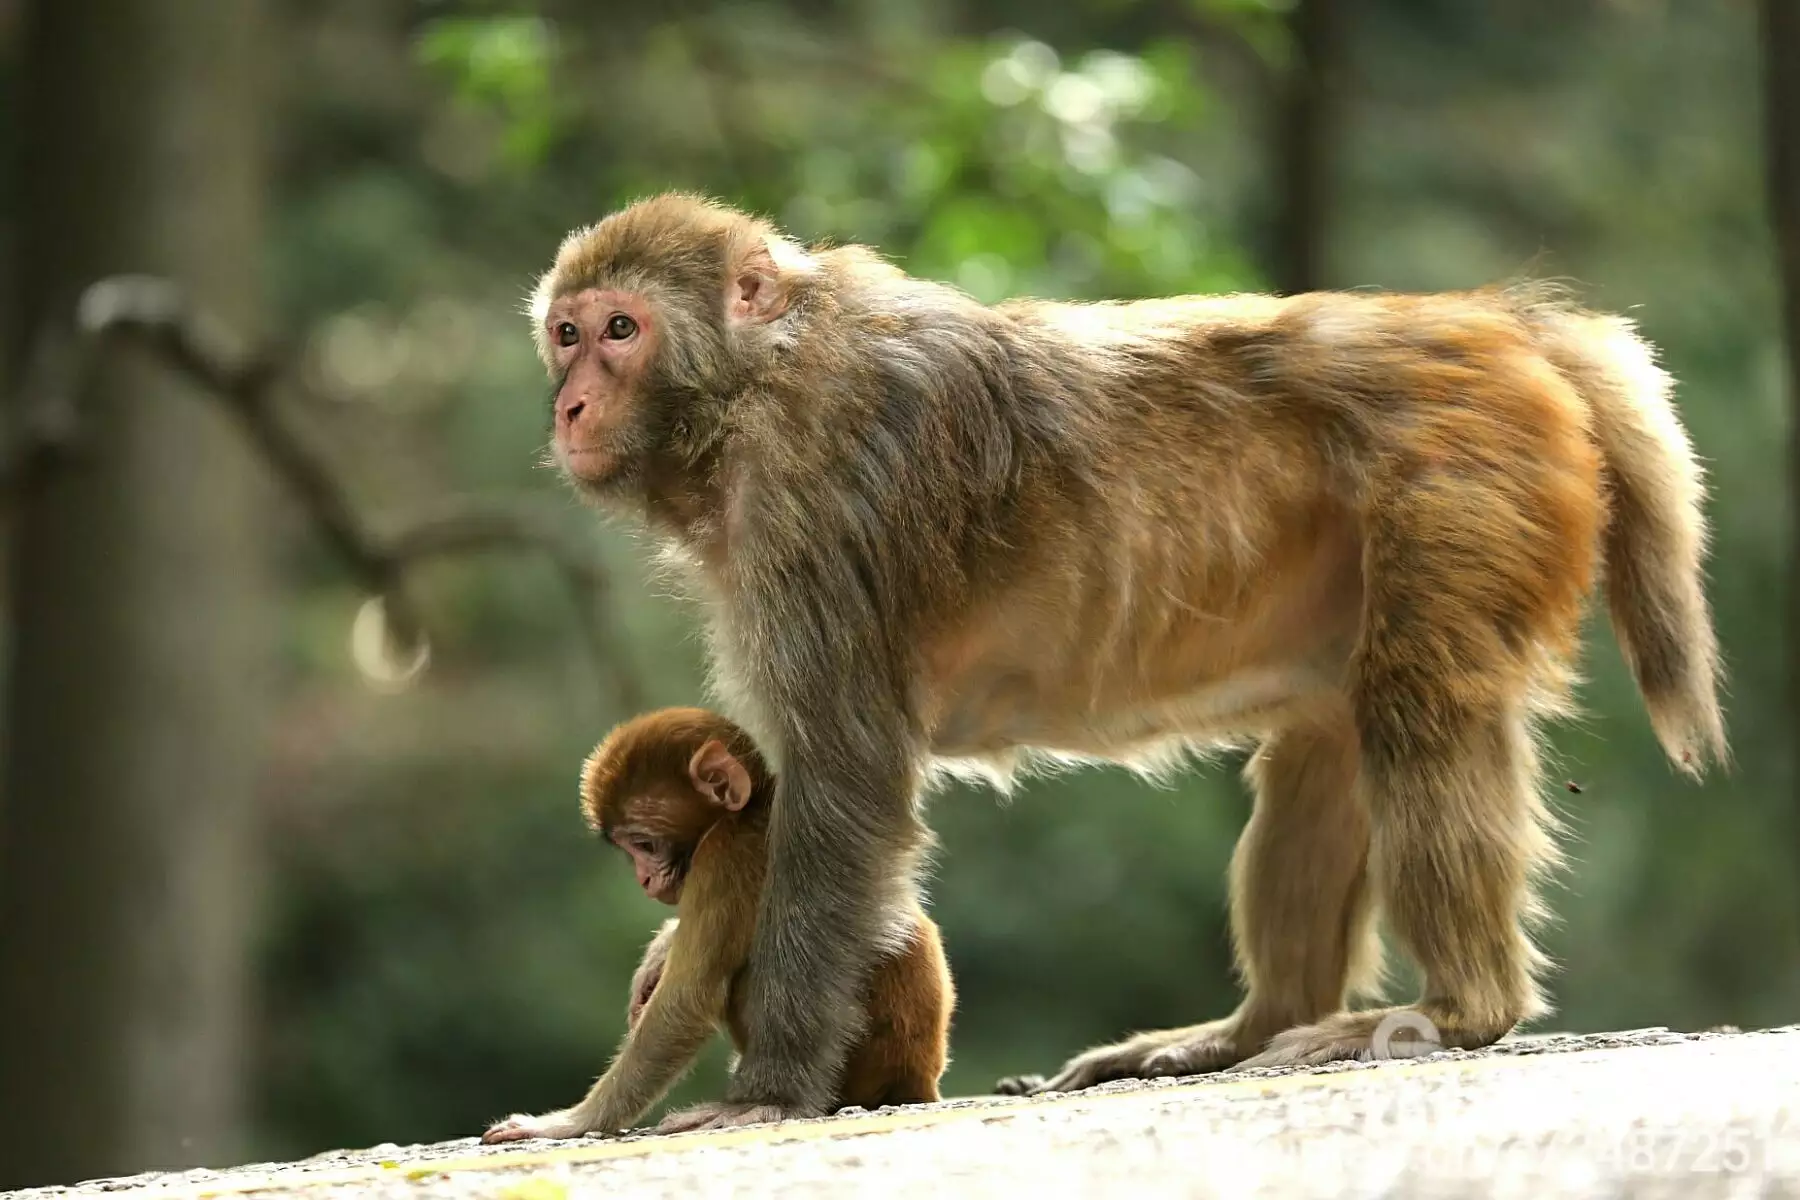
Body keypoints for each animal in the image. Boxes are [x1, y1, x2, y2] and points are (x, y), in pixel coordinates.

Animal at [478, 712, 957, 1144]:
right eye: (629, 851)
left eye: (644, 844)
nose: (644, 879)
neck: (750, 812)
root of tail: (918, 1079)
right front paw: (662, 947)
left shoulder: (725, 857)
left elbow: (687, 1000)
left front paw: (569, 1122)